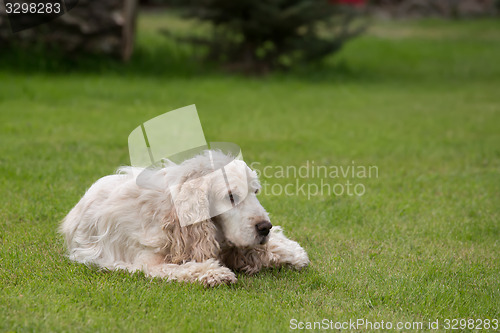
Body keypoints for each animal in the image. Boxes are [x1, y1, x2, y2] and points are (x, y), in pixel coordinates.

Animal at [60, 150, 306, 286]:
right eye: (230, 196)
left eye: (255, 192)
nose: (265, 227)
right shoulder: (147, 261)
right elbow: (181, 268)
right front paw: (214, 273)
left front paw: (288, 253)